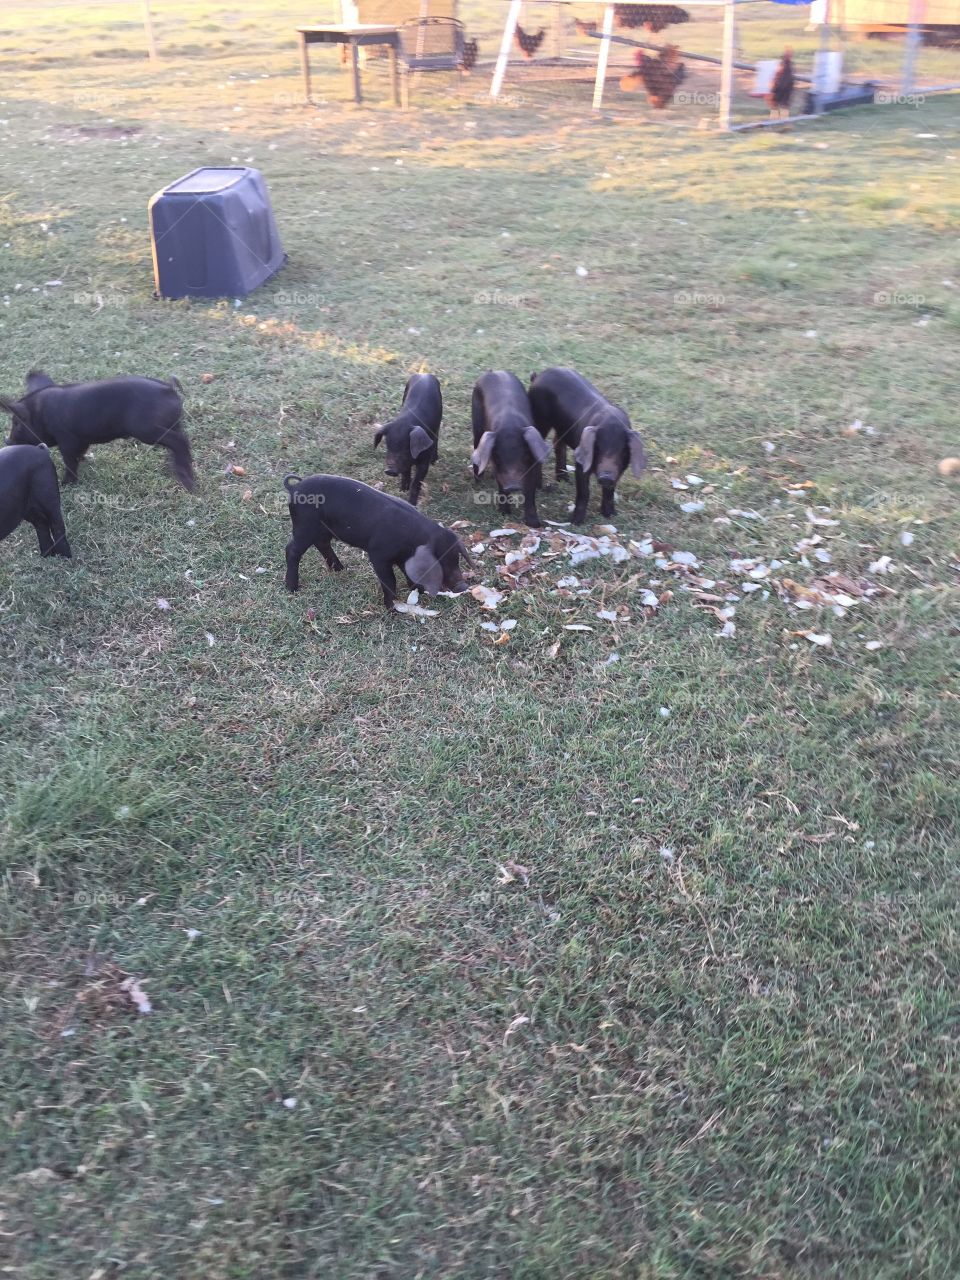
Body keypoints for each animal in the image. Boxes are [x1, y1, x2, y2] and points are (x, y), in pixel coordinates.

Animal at [1, 371, 194, 491]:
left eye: (17, 423)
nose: (7, 441)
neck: (42, 414)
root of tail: (168, 387)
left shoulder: (66, 439)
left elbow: (69, 461)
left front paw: (65, 484)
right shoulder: (81, 440)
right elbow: (80, 453)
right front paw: (84, 460)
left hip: (148, 430)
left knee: (181, 442)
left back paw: (188, 483)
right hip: (171, 425)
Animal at [283, 472, 470, 608]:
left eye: (456, 558)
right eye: (440, 562)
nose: (463, 586)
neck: (411, 542)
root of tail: (294, 487)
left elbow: (407, 573)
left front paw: (417, 590)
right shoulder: (378, 554)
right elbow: (390, 580)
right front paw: (391, 607)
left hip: (322, 530)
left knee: (322, 544)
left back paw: (340, 569)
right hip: (304, 525)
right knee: (292, 550)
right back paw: (292, 588)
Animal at [373, 373, 442, 507]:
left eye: (406, 448)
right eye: (388, 446)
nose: (390, 470)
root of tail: (424, 374)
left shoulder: (424, 462)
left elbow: (416, 483)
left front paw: (412, 504)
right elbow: (405, 472)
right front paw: (403, 489)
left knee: (437, 437)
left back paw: (435, 459)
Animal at [470, 370, 551, 528]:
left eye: (524, 454)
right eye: (497, 456)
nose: (513, 486)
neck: (510, 426)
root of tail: (493, 371)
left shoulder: (532, 464)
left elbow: (530, 492)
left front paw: (534, 524)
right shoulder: (497, 468)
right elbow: (501, 486)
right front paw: (504, 513)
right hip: (476, 424)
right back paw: (478, 480)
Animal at [528, 367, 646, 524]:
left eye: (622, 450)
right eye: (597, 447)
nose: (606, 476)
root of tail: (538, 376)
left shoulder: (620, 469)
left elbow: (610, 492)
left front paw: (610, 515)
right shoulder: (580, 461)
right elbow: (584, 492)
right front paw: (576, 522)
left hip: (562, 428)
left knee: (558, 444)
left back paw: (564, 479)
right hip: (540, 418)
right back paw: (540, 486)